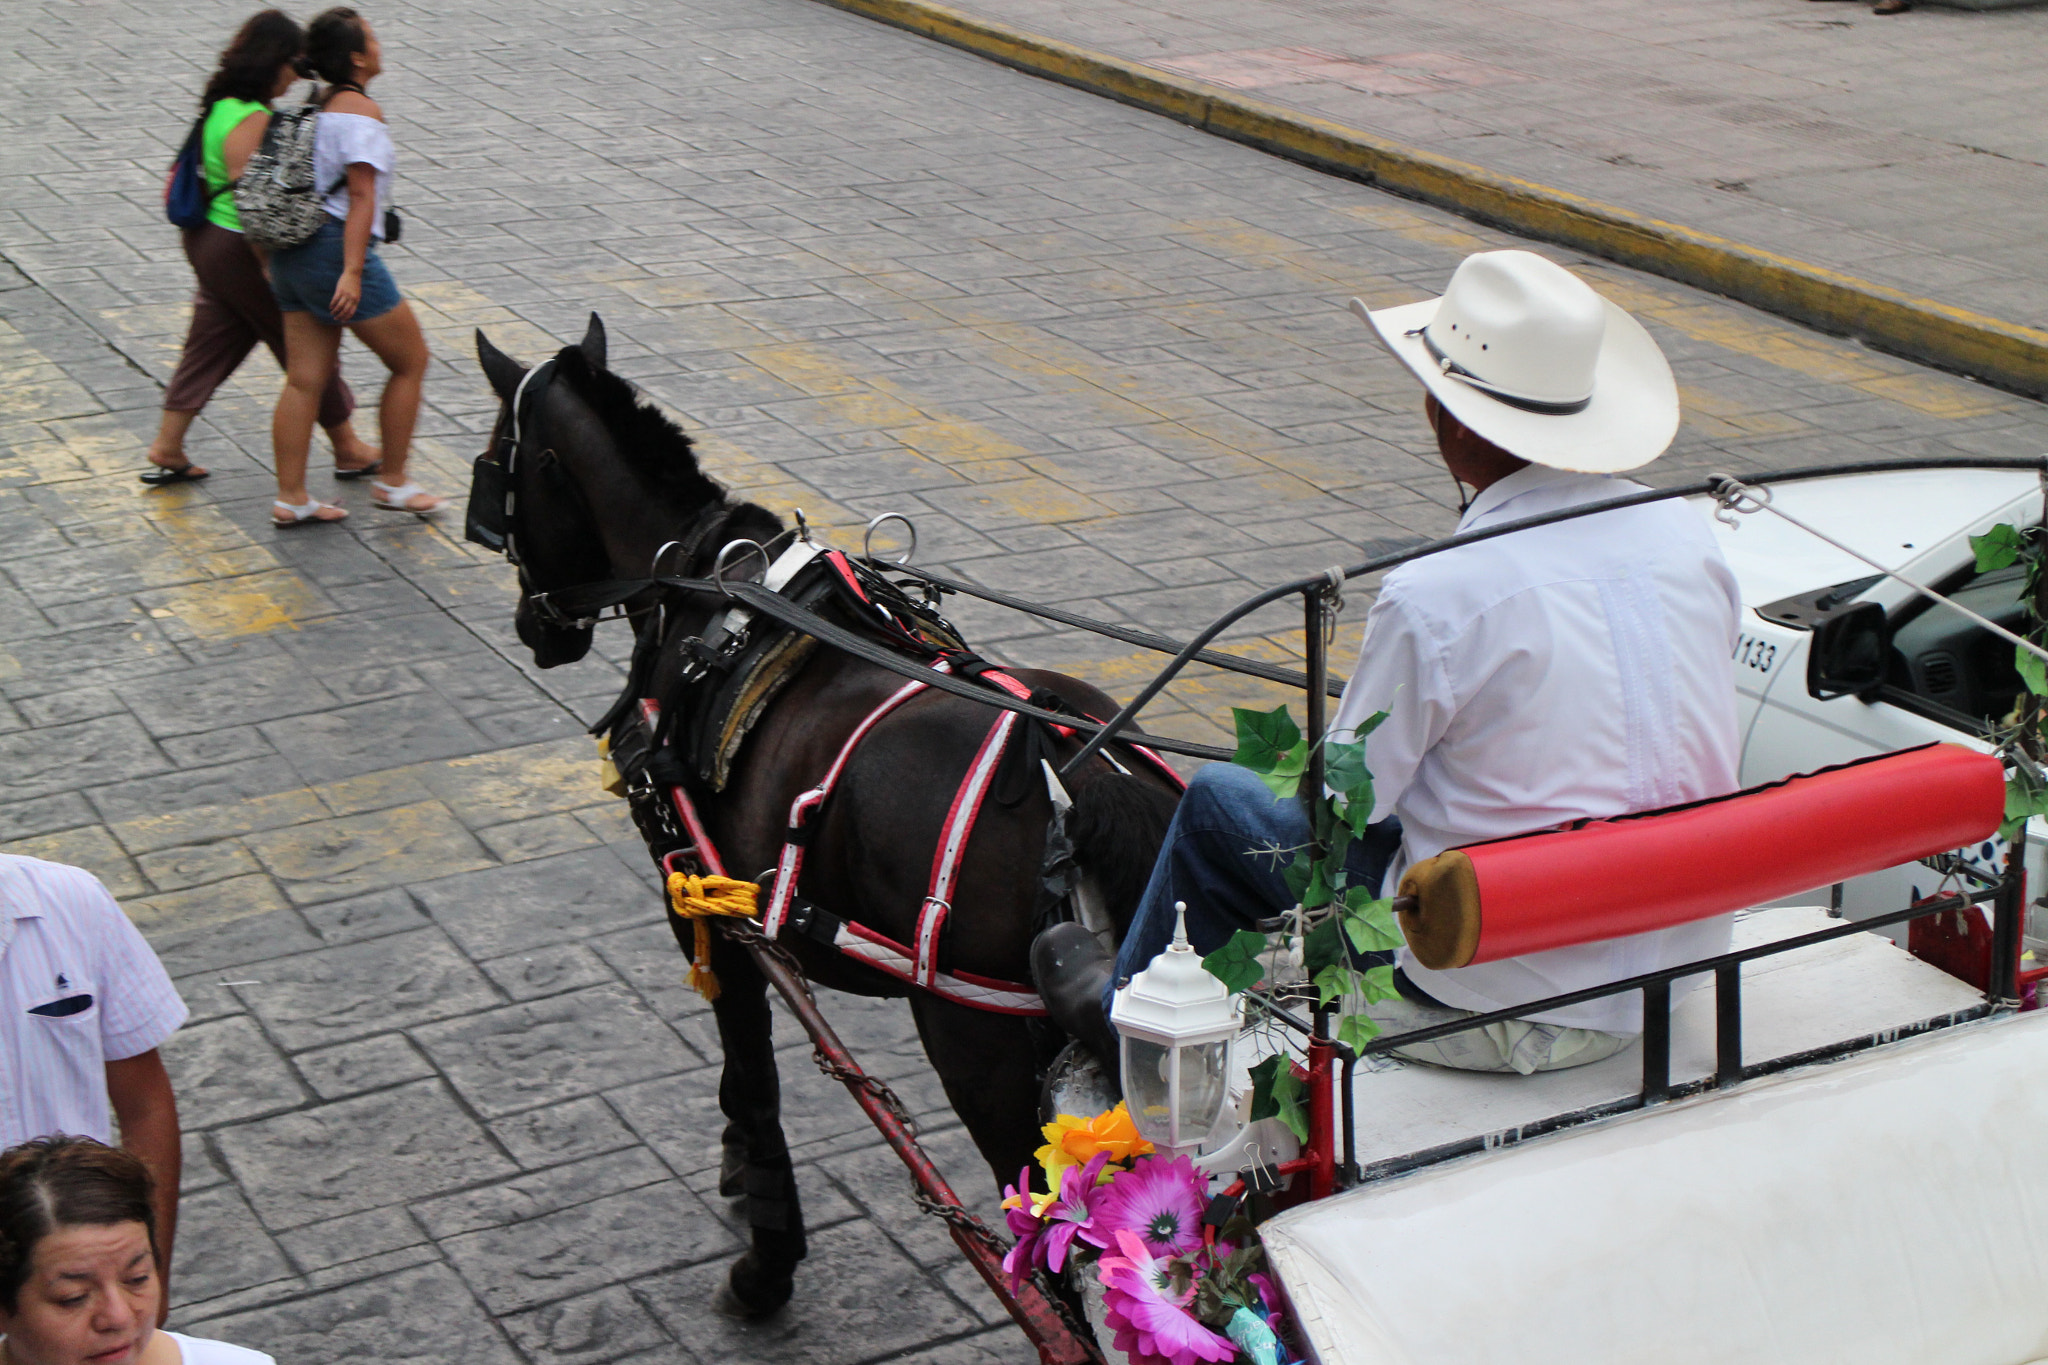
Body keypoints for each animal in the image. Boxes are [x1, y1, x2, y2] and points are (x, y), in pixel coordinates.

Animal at [473, 315, 1187, 1317]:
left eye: (494, 461)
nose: (536, 629)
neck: (708, 588)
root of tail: (1082, 785)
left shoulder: (699, 896)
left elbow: (752, 1066)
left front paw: (766, 1249)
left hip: (986, 1055)